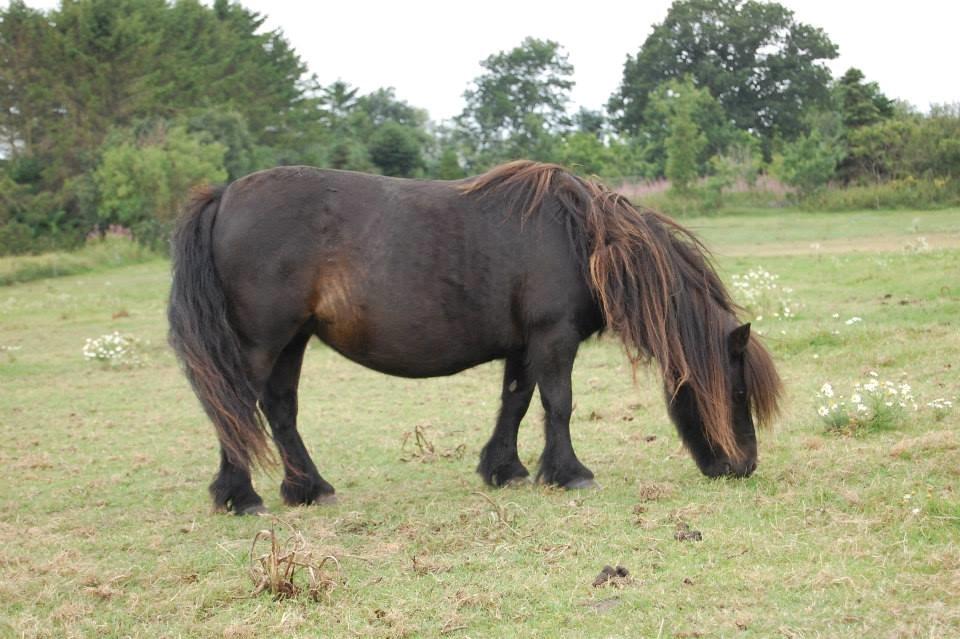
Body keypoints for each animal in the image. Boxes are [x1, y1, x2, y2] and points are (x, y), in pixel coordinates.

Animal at [167, 160, 780, 516]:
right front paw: (570, 474)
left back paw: (308, 489)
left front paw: (505, 470)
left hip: (292, 341)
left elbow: (516, 403)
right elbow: (559, 404)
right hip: (262, 343)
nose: (744, 466)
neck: (580, 238)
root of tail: (225, 196)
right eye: (738, 391)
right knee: (235, 409)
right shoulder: (553, 338)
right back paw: (241, 497)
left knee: (279, 409)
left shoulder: (525, 346)